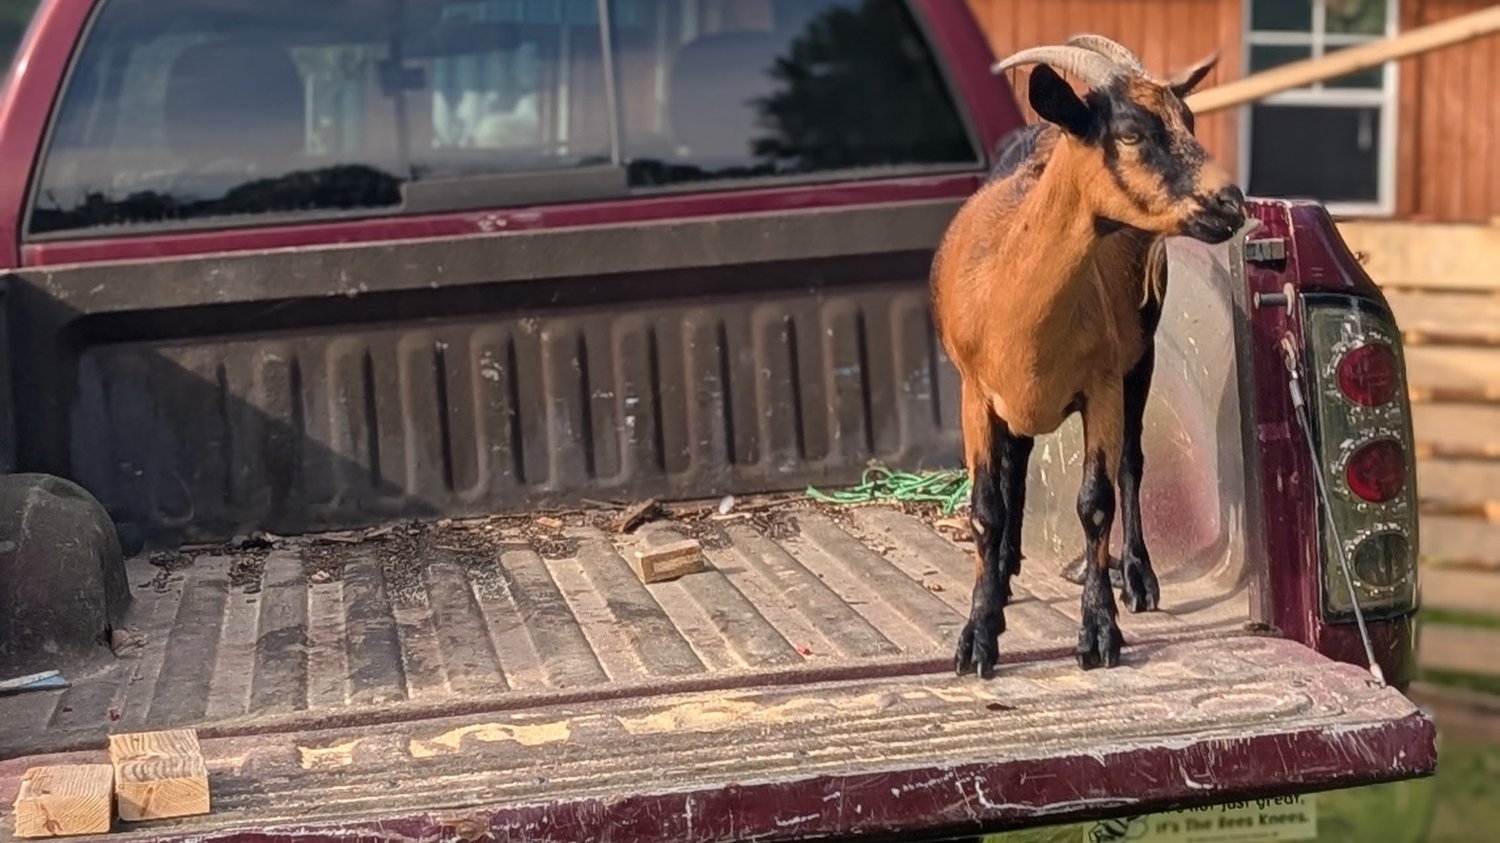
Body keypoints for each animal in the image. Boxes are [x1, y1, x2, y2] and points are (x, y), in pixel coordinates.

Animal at [930, 36, 1245, 678]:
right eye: (1129, 133)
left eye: (1189, 120)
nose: (1231, 203)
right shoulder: (976, 391)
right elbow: (985, 508)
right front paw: (978, 634)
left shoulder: (1102, 385)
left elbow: (1095, 503)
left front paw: (1100, 631)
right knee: (1018, 463)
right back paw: (1004, 573)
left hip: (1140, 358)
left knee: (1131, 462)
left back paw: (1140, 578)